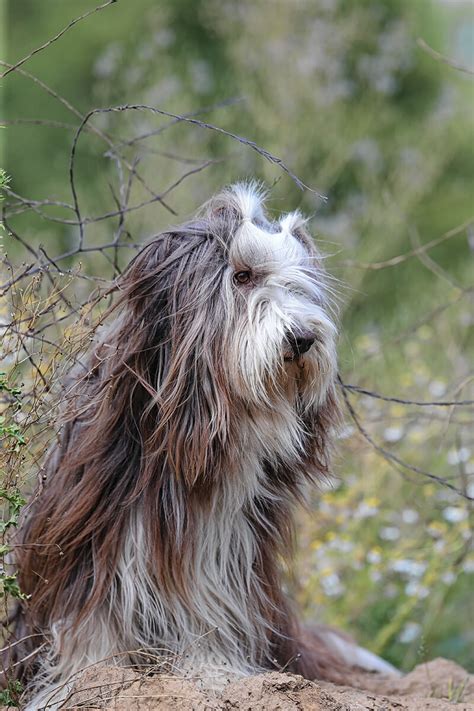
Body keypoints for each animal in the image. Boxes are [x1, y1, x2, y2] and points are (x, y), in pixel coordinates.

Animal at [4, 182, 396, 708]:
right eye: (243, 276)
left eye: (299, 286)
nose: (303, 338)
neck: (199, 423)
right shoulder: (97, 526)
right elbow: (92, 609)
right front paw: (89, 677)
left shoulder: (225, 542)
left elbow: (207, 605)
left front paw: (213, 671)